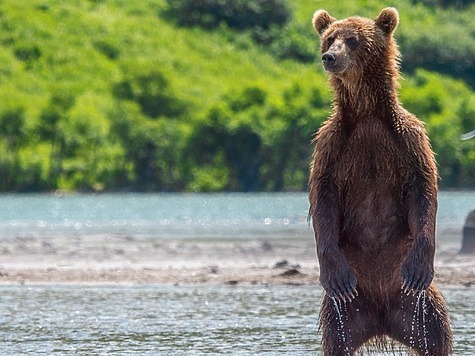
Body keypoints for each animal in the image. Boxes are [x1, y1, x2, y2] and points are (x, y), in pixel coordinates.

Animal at [308, 6, 454, 354]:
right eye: (329, 38)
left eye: (353, 40)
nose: (329, 57)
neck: (366, 111)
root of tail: (382, 316)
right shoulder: (332, 145)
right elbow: (323, 197)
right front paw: (334, 275)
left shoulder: (407, 138)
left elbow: (423, 187)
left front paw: (420, 266)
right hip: (349, 307)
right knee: (336, 338)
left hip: (414, 301)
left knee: (436, 331)